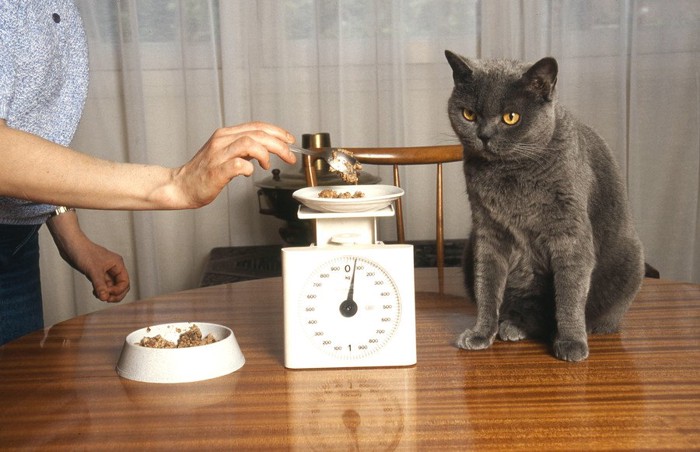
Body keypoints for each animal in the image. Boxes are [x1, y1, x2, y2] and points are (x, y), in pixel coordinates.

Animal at [446, 49, 644, 362]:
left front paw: (572, 341)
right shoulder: (487, 231)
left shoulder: (570, 232)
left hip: (630, 262)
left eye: (511, 117)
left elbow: (570, 292)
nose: (484, 135)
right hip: (469, 251)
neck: (511, 174)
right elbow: (486, 285)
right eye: (469, 114)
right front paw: (480, 333)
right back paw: (512, 325)